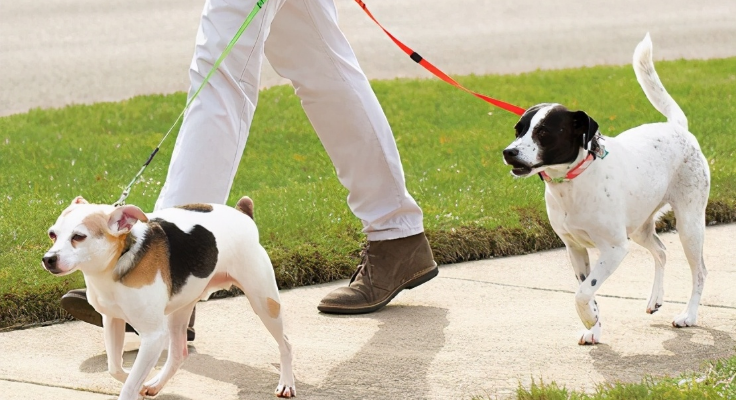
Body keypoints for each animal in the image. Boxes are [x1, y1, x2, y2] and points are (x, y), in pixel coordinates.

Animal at [42, 197, 296, 400]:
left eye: (79, 237)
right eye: (52, 234)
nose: (48, 259)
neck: (119, 261)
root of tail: (243, 214)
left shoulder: (153, 336)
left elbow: (128, 386)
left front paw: (134, 385)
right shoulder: (112, 320)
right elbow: (115, 369)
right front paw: (137, 381)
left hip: (264, 303)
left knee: (286, 344)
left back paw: (286, 383)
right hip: (180, 311)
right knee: (178, 354)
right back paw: (155, 384)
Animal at [506, 34, 712, 346]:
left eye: (543, 132)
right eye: (518, 129)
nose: (509, 152)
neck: (573, 183)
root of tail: (678, 128)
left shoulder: (614, 249)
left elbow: (582, 293)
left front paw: (588, 319)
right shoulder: (575, 248)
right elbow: (589, 292)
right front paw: (594, 326)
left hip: (689, 223)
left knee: (699, 270)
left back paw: (688, 315)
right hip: (639, 227)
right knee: (661, 251)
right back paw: (655, 299)